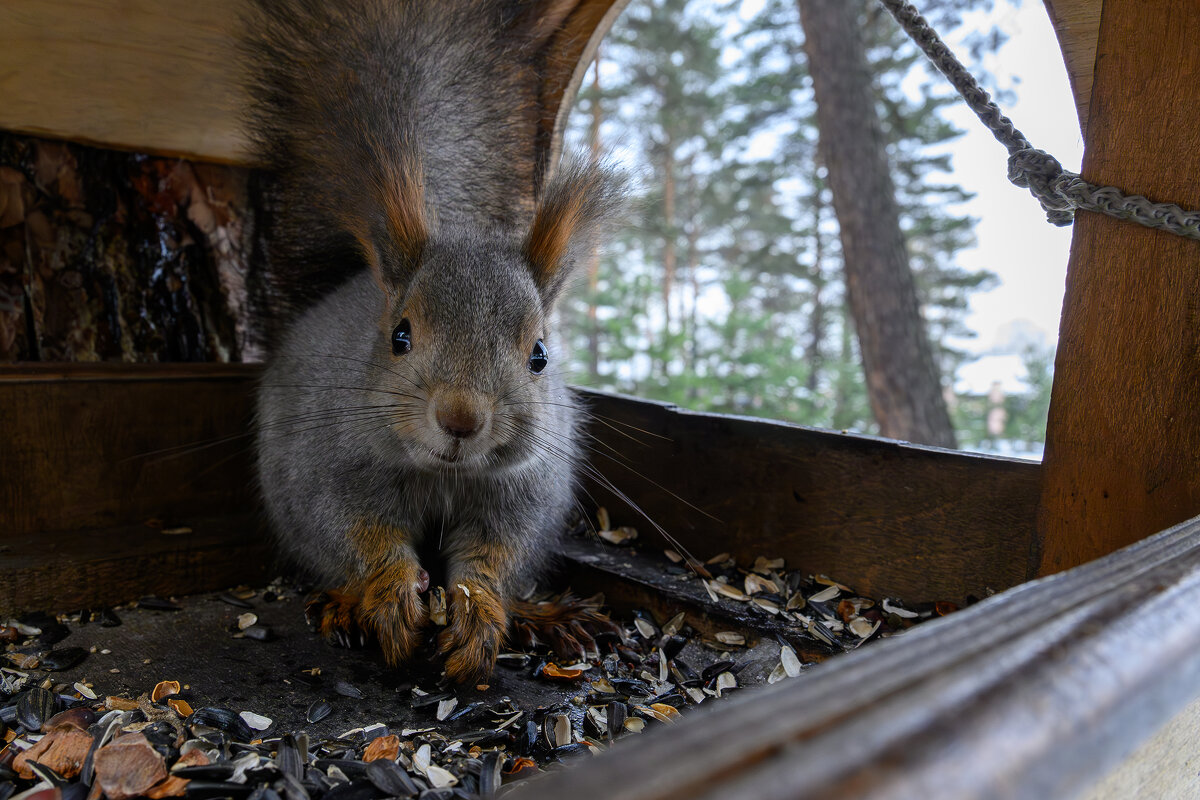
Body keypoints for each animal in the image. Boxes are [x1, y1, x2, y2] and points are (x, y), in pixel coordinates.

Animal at [240, 0, 624, 681]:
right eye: (400, 335)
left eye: (539, 355)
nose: (461, 419)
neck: (444, 475)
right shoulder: (325, 467)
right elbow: (355, 531)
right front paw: (392, 591)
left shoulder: (523, 493)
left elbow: (495, 554)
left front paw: (479, 608)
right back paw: (344, 605)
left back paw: (544, 617)